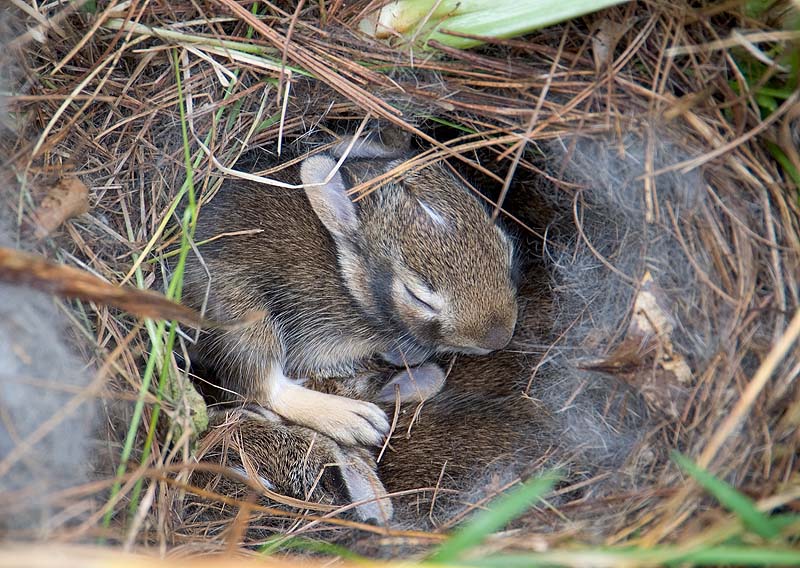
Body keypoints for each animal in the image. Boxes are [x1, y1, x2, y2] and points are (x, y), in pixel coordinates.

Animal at [181, 129, 519, 448]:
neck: (351, 283)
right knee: (261, 385)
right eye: (417, 297)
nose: (499, 339)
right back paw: (355, 419)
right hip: (241, 309)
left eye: (506, 248)